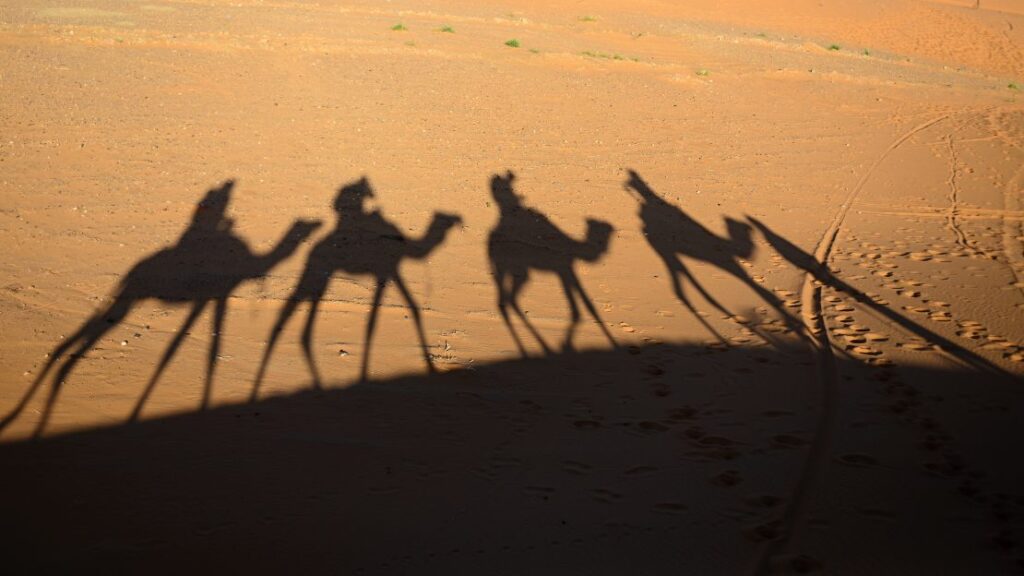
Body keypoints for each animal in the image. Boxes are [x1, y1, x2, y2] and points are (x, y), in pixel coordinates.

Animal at [1, 180, 320, 437]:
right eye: (305, 225)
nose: (315, 227)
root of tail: (131, 272)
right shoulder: (218, 296)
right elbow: (205, 350)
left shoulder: (209, 299)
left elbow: (185, 349)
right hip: (127, 297)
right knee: (72, 343)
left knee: (68, 345)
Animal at [252, 177, 461, 395]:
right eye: (449, 218)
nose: (461, 223)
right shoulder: (384, 271)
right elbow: (372, 322)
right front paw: (364, 375)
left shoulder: (392, 270)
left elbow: (412, 307)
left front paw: (431, 366)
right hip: (316, 273)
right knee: (287, 314)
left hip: (320, 279)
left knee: (304, 325)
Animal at [487, 171, 616, 355]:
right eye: (600, 229)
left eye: (606, 230)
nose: (606, 246)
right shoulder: (565, 269)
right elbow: (579, 310)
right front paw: (565, 344)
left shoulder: (566, 269)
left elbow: (584, 307)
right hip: (513, 268)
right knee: (509, 300)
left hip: (506, 270)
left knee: (506, 302)